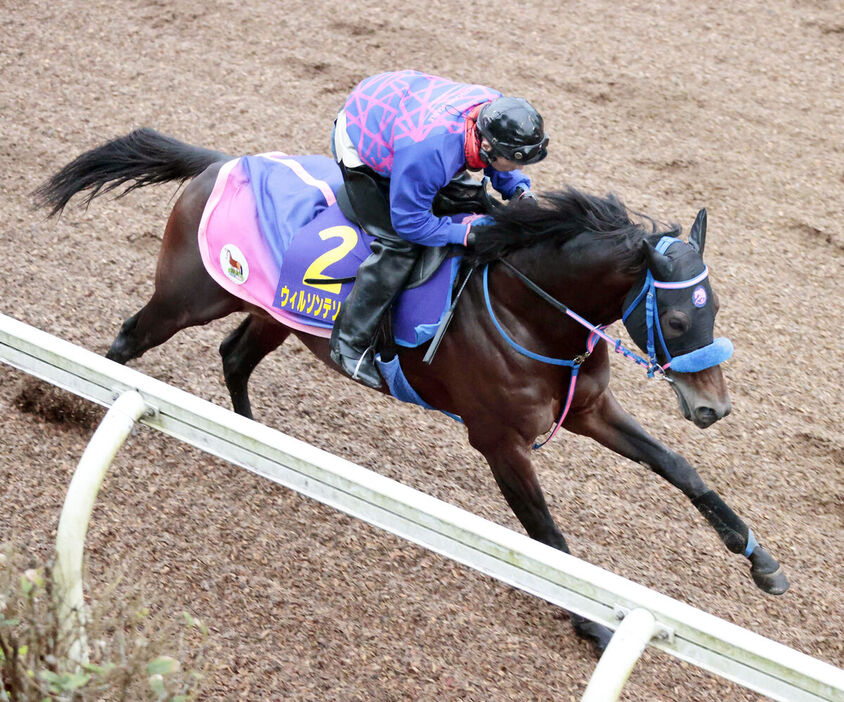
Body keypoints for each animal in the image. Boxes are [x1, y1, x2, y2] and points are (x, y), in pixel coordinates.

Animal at [34, 129, 792, 656]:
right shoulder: (498, 440)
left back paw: (256, 443)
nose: (713, 407)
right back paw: (77, 400)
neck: (527, 304)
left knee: (235, 358)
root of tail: (222, 163)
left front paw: (761, 562)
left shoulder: (591, 409)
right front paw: (592, 625)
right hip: (190, 296)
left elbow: (679, 469)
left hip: (272, 312)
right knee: (129, 342)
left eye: (717, 308)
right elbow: (547, 536)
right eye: (680, 318)